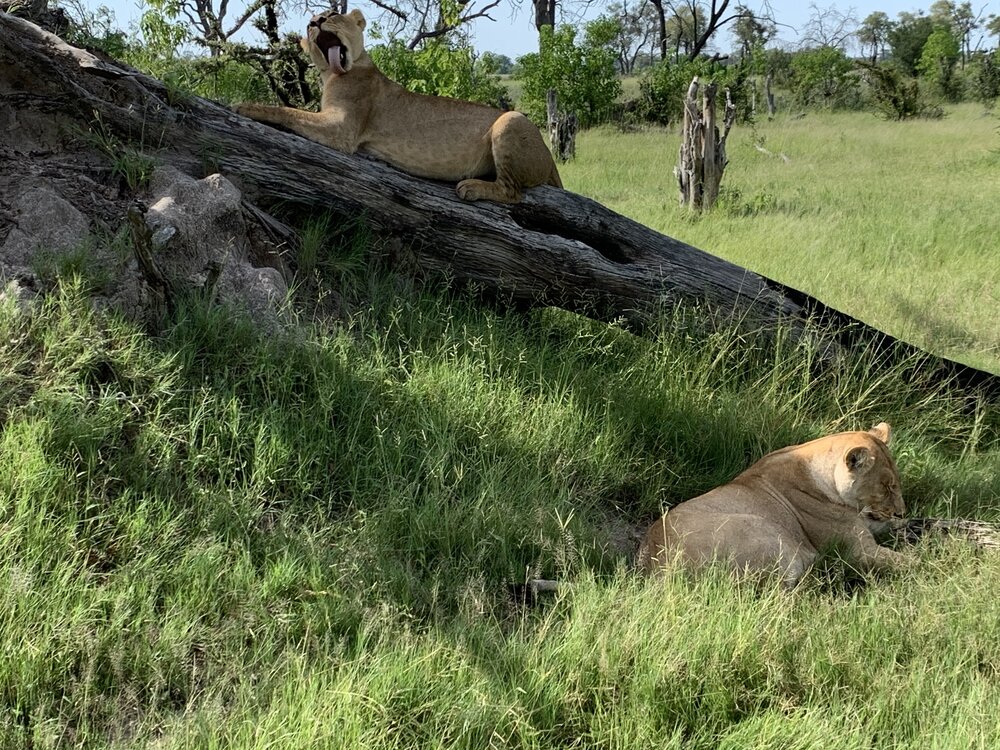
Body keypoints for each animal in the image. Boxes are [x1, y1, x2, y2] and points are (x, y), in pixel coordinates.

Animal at [234, 9, 564, 203]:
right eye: (309, 25)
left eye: (332, 14)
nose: (314, 22)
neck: (337, 72)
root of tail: (549, 157)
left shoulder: (342, 129)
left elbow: (287, 110)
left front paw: (245, 107)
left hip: (510, 120)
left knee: (514, 192)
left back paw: (471, 188)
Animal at [640, 424, 916, 588]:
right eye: (887, 487)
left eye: (896, 483)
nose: (901, 510)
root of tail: (660, 572)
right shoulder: (859, 551)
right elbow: (911, 562)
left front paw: (915, 525)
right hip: (763, 528)